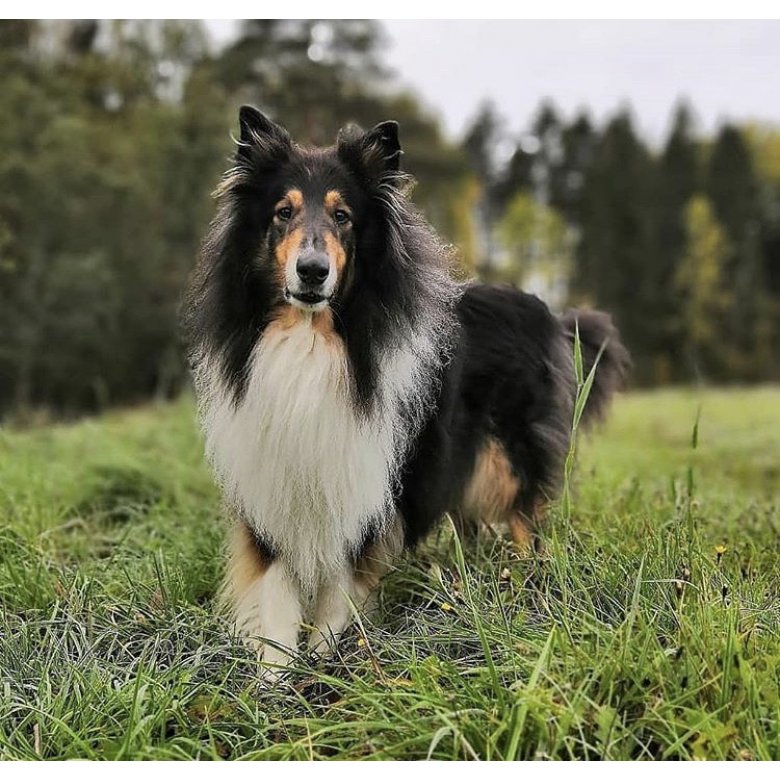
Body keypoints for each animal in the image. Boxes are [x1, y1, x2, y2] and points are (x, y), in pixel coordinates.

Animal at [181, 106, 628, 672]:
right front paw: (274, 676)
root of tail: (550, 313)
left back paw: (527, 590)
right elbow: (277, 593)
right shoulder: (271, 483)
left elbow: (340, 586)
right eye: (283, 212)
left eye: (343, 216)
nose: (312, 272)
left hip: (506, 457)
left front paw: (329, 662)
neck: (311, 339)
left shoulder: (363, 480)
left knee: (524, 522)